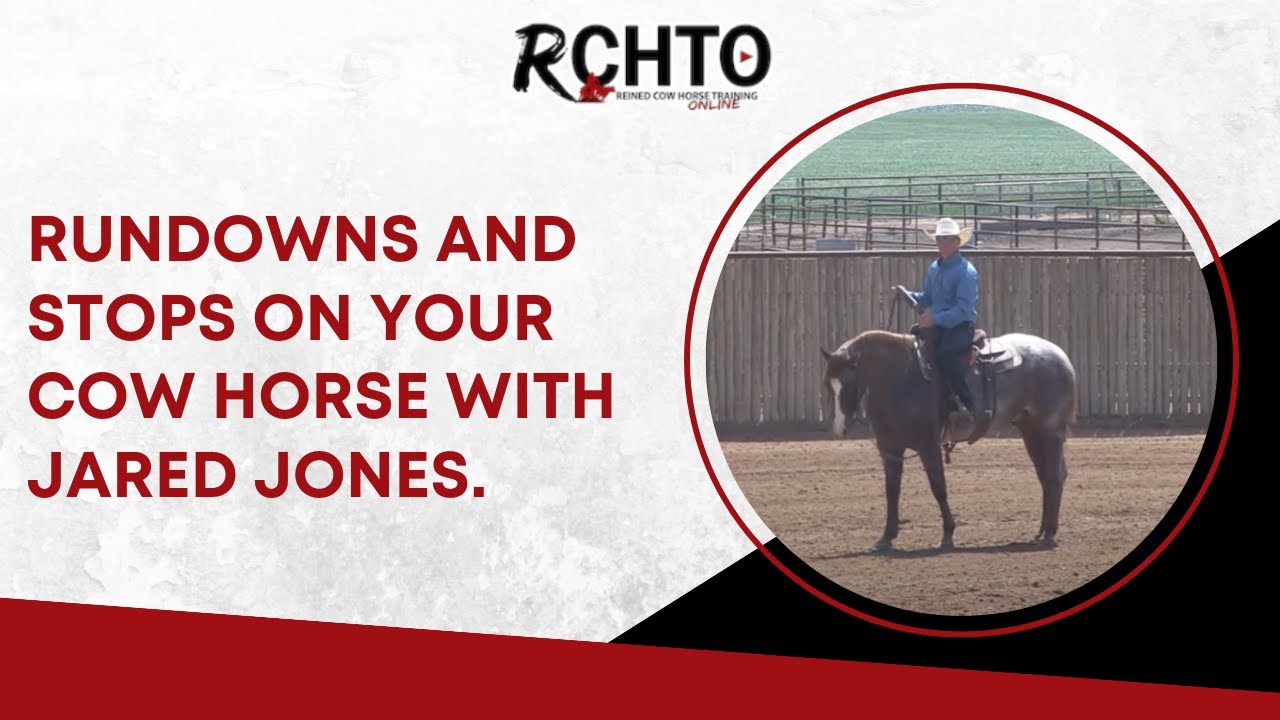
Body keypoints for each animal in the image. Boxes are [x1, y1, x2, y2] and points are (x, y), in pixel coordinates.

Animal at [819, 311, 1077, 553]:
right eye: (829, 384)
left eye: (849, 383)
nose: (840, 428)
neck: (899, 377)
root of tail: (1059, 354)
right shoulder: (890, 448)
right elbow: (892, 491)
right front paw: (886, 538)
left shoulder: (928, 446)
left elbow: (939, 488)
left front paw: (947, 535)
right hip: (1030, 430)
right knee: (1044, 476)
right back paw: (1041, 531)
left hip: (1050, 429)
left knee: (1054, 475)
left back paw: (1049, 534)